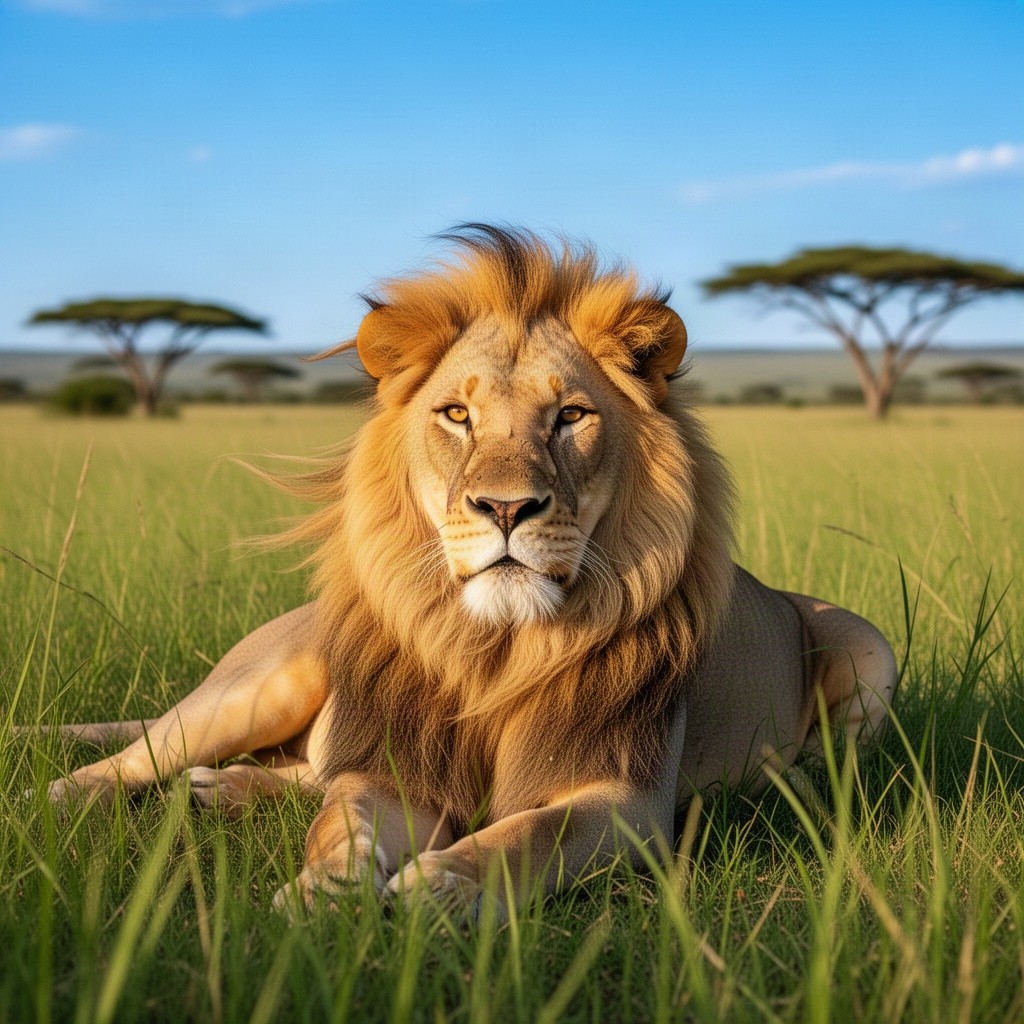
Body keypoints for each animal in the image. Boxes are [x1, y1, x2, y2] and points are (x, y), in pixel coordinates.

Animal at [39, 225, 897, 913]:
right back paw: (75, 798)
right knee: (148, 755)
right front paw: (325, 893)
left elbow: (533, 833)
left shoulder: (629, 801)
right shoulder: (394, 768)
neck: (496, 647)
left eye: (571, 415)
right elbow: (341, 822)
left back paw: (221, 791)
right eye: (457, 414)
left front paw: (444, 882)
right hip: (265, 683)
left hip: (870, 648)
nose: (507, 508)